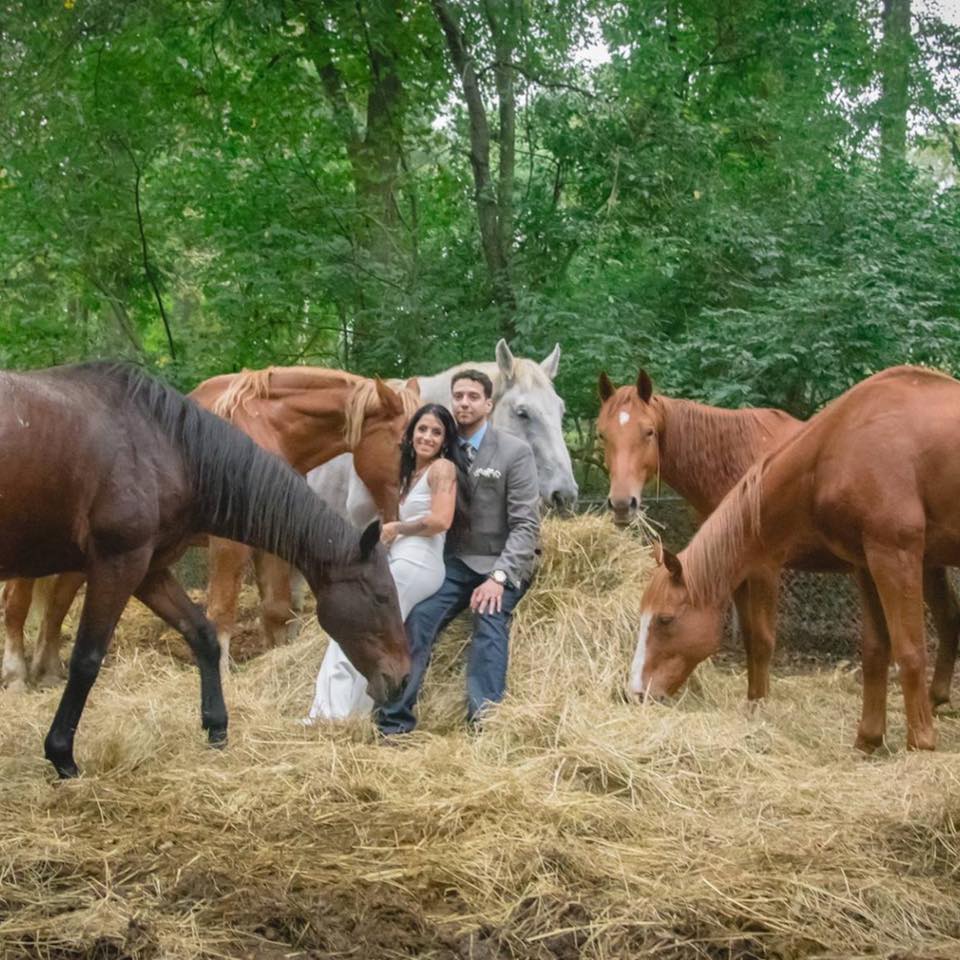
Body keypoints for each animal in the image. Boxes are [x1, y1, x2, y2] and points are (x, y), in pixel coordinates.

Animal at [0, 364, 408, 776]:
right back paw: (17, 675)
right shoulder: (141, 559)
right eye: (382, 597)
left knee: (53, 609)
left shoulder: (150, 568)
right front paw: (62, 755)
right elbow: (91, 657)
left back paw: (46, 671)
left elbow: (219, 629)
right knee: (17, 606)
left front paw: (219, 725)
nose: (403, 677)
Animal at [632, 366, 960, 752]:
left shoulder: (896, 557)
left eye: (665, 619)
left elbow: (909, 650)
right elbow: (875, 650)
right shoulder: (866, 564)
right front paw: (868, 739)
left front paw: (921, 743)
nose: (635, 693)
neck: (841, 443)